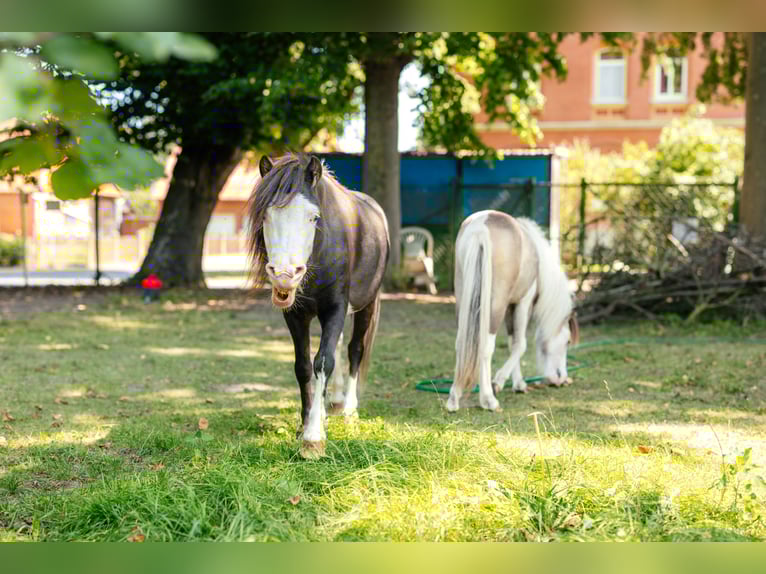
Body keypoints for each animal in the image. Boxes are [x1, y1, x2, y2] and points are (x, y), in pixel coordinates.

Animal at [246, 153, 390, 459]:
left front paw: (313, 438)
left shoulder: (336, 308)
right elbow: (302, 366)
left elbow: (324, 361)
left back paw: (348, 409)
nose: (284, 276)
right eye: (266, 216)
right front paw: (306, 423)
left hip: (367, 304)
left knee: (354, 349)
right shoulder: (295, 315)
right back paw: (331, 404)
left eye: (313, 217)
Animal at [448, 210, 579, 413]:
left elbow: (512, 343)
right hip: (495, 306)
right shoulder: (523, 303)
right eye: (567, 341)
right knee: (486, 346)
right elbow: (520, 345)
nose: (561, 378)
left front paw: (518, 383)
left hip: (463, 299)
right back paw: (488, 399)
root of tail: (481, 226)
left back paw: (454, 399)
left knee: (460, 343)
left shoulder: (511, 306)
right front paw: (499, 382)